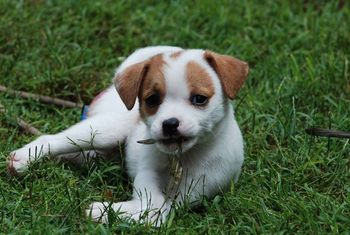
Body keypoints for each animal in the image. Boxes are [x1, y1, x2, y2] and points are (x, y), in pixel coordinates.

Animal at [7, 46, 249, 226]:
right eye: (152, 100)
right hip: (104, 131)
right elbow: (151, 201)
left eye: (199, 99)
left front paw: (106, 211)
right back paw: (24, 158)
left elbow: (155, 212)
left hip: (94, 154)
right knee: (52, 139)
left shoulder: (194, 191)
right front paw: (110, 211)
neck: (181, 158)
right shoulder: (147, 172)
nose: (170, 124)